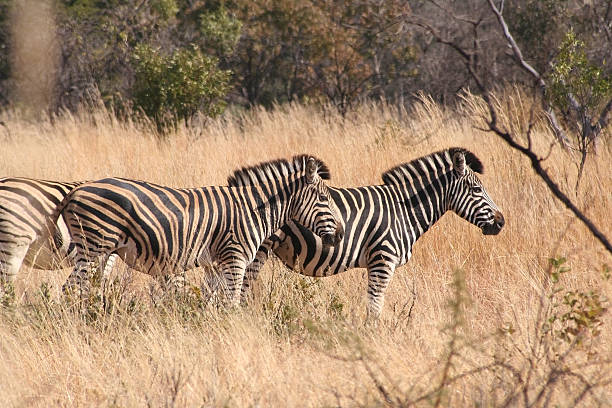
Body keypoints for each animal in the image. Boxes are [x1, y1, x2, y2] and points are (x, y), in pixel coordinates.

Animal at [52, 155, 344, 304]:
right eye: (324, 198)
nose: (341, 235)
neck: (253, 208)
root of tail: (76, 191)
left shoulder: (215, 263)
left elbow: (211, 300)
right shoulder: (234, 258)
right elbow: (232, 301)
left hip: (100, 252)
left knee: (82, 288)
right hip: (93, 248)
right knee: (70, 288)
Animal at [241, 148, 504, 320]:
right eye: (477, 189)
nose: (501, 222)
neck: (403, 210)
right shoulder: (382, 260)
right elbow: (374, 308)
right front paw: (373, 341)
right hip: (256, 249)